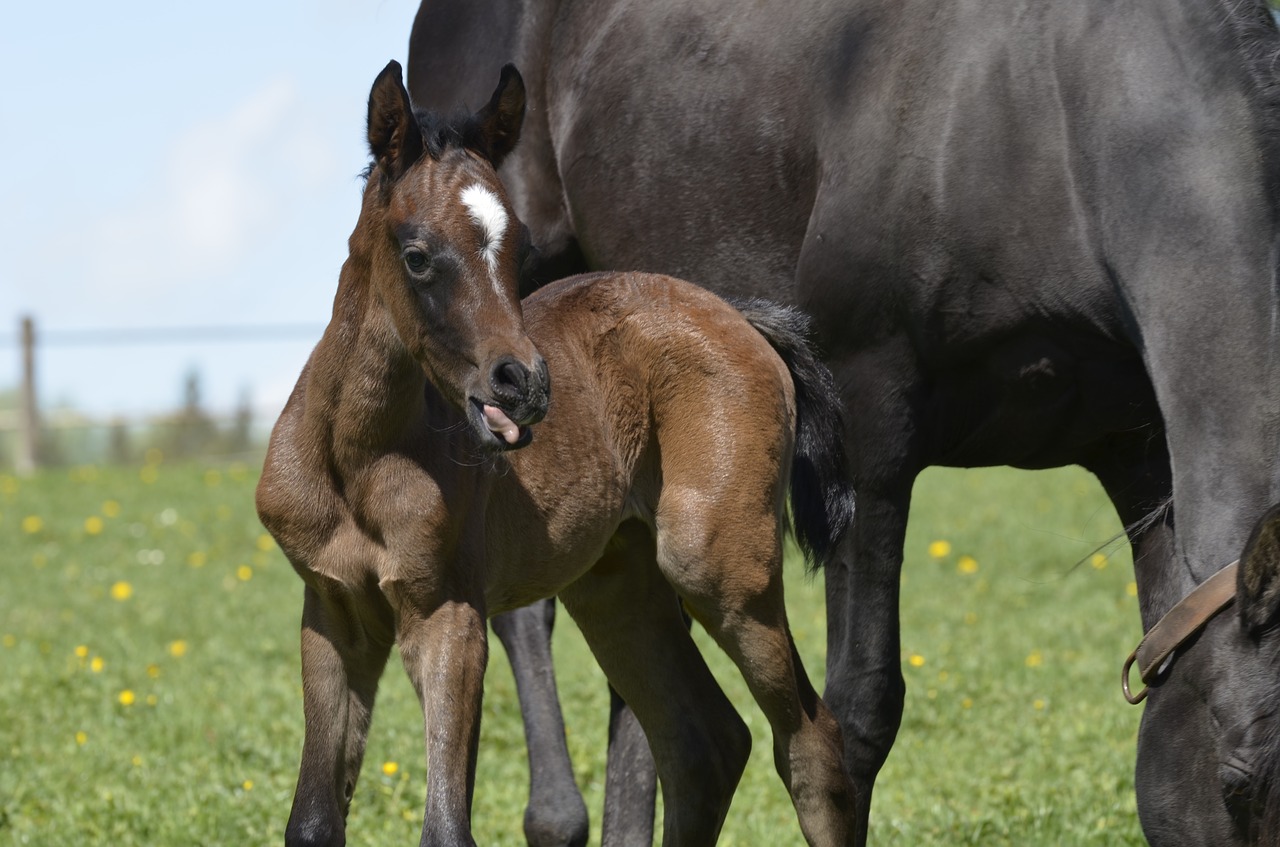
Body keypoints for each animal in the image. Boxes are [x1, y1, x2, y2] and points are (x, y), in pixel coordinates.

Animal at [255, 61, 860, 847]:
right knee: (704, 741)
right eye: (417, 256)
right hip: (616, 583)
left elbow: (446, 826)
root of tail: (742, 317)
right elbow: (312, 822)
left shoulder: (447, 612)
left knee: (811, 741)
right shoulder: (332, 612)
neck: (356, 457)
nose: (524, 384)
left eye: (517, 251)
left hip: (719, 567)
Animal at [405, 0, 1280, 843]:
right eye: (1239, 780)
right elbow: (859, 711)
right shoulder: (869, 428)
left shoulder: (1137, 452)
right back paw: (556, 819)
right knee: (530, 606)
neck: (1042, 112)